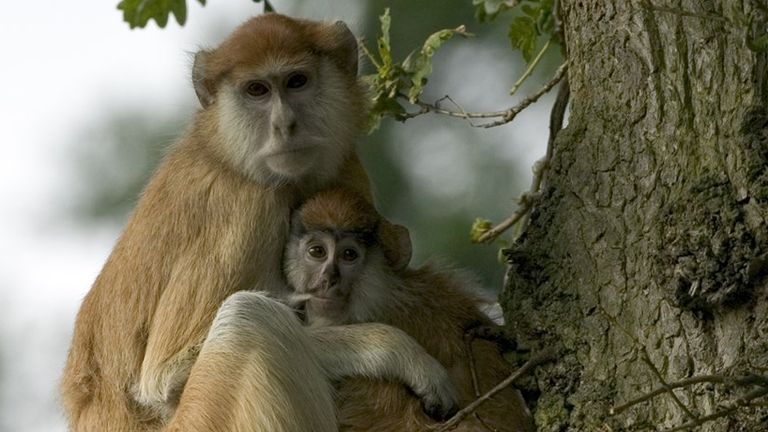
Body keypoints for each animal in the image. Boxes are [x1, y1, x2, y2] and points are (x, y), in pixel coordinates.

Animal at [61, 13, 456, 432]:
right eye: (257, 90)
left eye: (296, 81)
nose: (285, 125)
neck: (227, 153)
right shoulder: (248, 208)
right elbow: (163, 380)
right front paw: (398, 352)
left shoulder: (345, 166)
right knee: (247, 320)